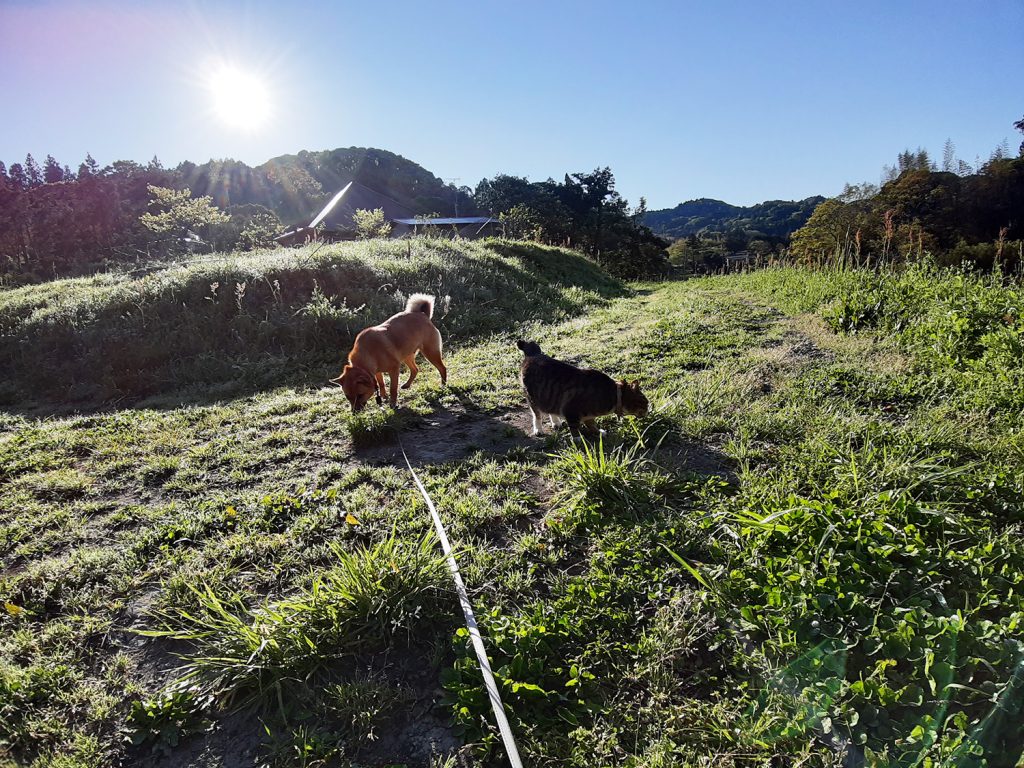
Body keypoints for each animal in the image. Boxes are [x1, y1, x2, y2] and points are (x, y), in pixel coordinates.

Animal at [516, 339, 651, 436]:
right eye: (645, 402)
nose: (649, 410)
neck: (612, 395)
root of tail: (533, 354)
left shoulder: (588, 415)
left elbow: (592, 425)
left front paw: (599, 433)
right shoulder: (571, 411)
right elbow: (575, 428)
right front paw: (578, 439)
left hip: (547, 397)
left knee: (550, 409)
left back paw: (556, 422)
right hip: (533, 398)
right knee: (537, 414)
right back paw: (538, 430)